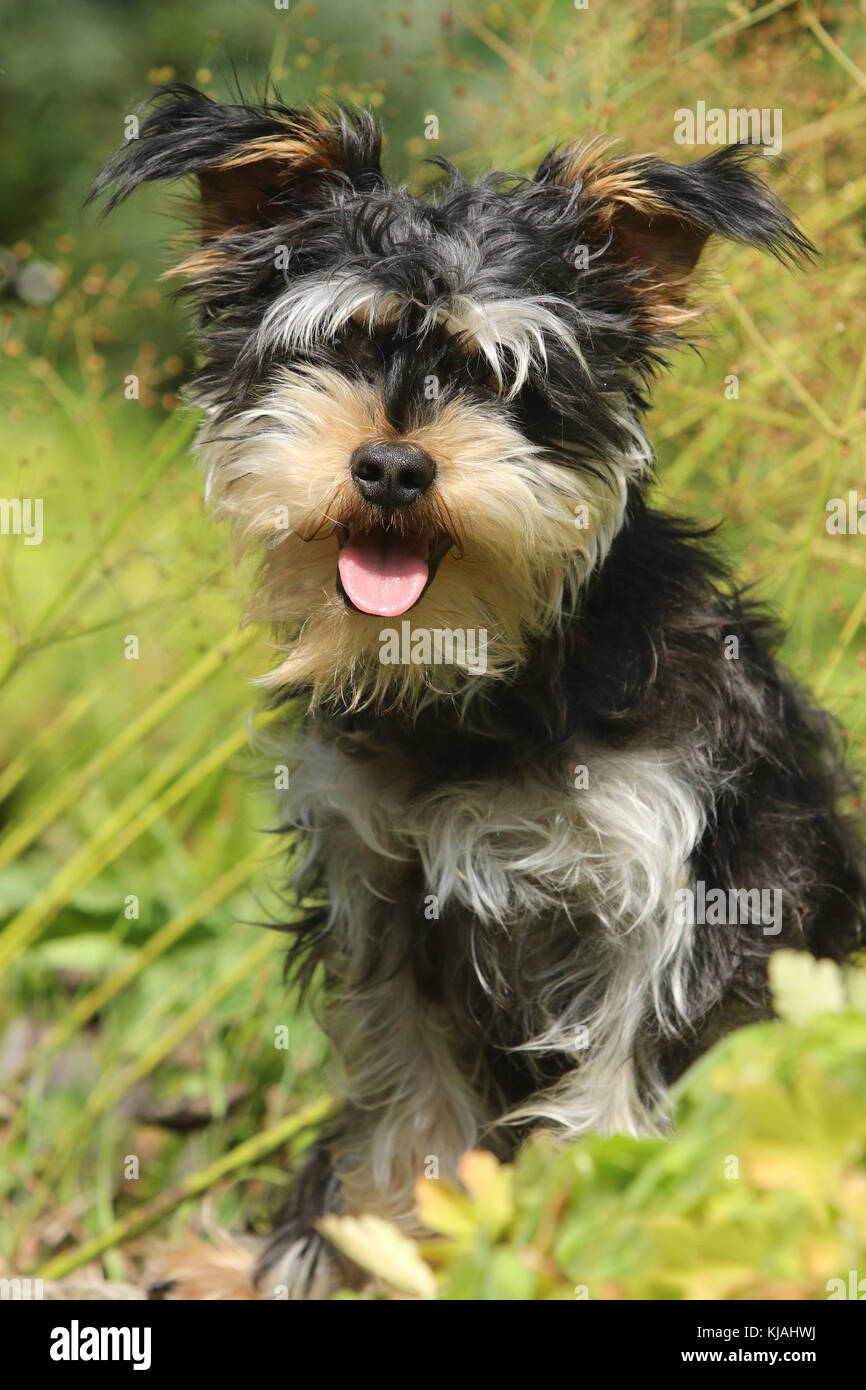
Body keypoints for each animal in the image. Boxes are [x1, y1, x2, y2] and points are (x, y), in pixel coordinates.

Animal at [89, 89, 866, 1301]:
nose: (393, 467)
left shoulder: (674, 913)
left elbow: (616, 1120)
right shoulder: (384, 900)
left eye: (507, 379)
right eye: (339, 346)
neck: (479, 677)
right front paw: (374, 1258)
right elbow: (402, 1120)